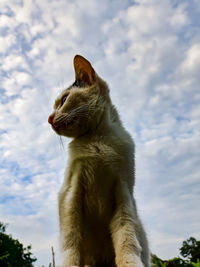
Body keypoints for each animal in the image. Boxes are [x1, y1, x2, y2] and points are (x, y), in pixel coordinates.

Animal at [47, 55, 149, 267]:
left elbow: (126, 236)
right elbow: (70, 240)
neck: (97, 141)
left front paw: (129, 262)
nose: (49, 119)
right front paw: (70, 263)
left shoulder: (124, 192)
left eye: (64, 100)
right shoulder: (70, 193)